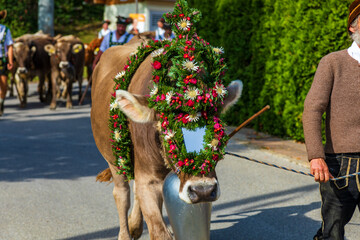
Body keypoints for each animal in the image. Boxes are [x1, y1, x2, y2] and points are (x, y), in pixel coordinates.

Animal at [90, 0, 242, 239]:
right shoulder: (148, 178)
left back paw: (135, 225)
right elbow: (158, 230)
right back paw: (125, 232)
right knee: (121, 194)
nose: (202, 190)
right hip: (113, 157)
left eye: (218, 132)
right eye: (166, 128)